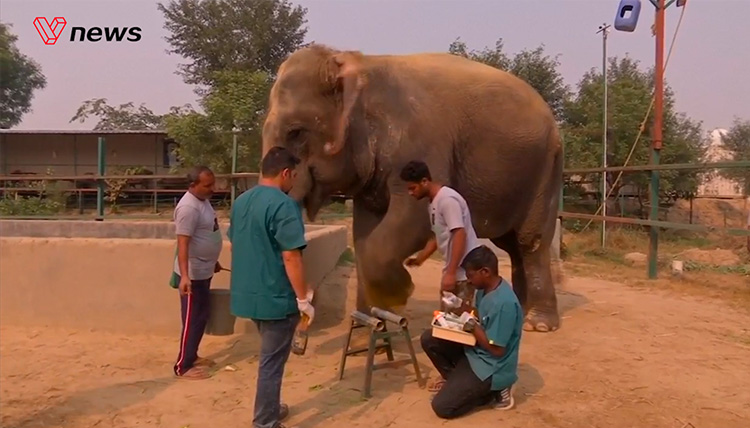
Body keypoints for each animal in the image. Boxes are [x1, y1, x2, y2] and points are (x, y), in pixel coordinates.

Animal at [261, 44, 563, 332]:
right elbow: (364, 235)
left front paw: (398, 294)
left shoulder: (423, 143)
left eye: (296, 132)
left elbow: (411, 220)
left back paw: (538, 323)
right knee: (510, 245)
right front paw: (369, 324)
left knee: (531, 241)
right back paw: (520, 309)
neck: (357, 62)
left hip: (546, 171)